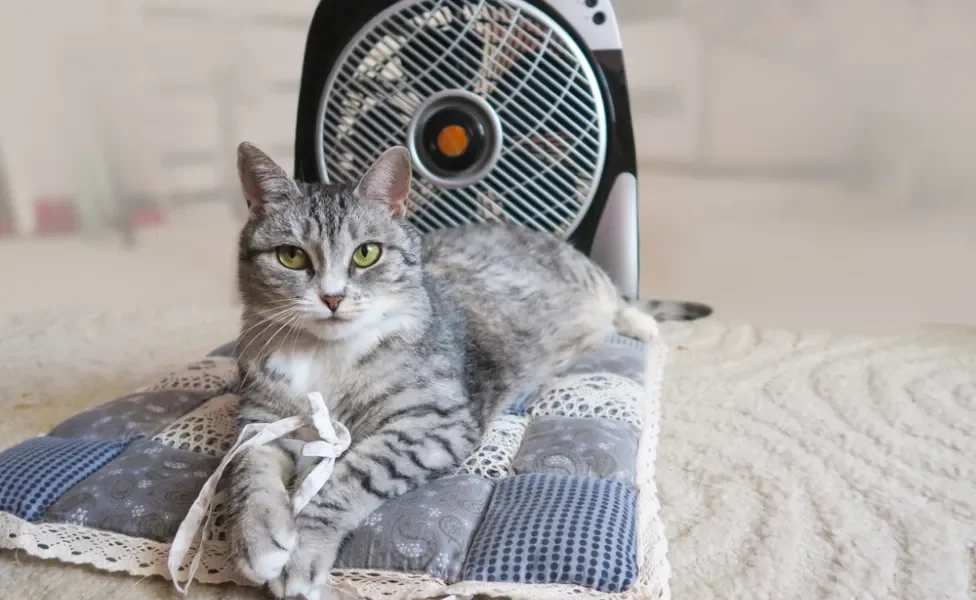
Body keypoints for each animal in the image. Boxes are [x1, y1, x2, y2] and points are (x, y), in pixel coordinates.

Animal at [231, 143, 708, 596]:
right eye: (291, 257)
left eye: (366, 254)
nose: (332, 298)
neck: (326, 355)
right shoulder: (260, 418)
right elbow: (248, 473)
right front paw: (257, 540)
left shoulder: (430, 422)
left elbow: (351, 476)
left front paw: (302, 551)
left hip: (594, 283)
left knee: (620, 302)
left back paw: (642, 325)